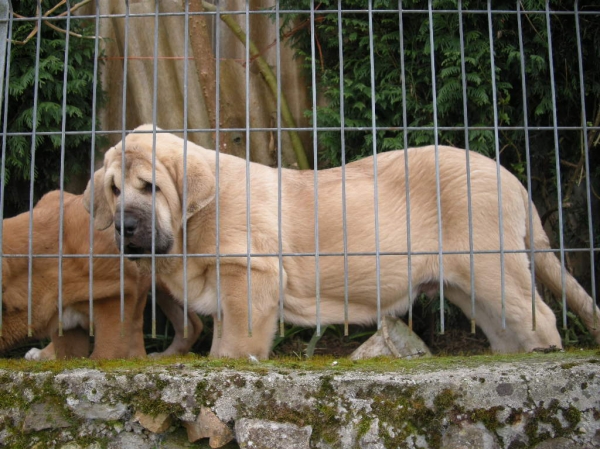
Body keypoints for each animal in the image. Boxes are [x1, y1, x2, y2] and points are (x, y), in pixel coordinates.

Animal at [83, 124, 600, 358]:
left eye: (150, 187)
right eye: (114, 190)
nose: (124, 227)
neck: (194, 218)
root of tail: (512, 180)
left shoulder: (248, 273)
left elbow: (238, 338)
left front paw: (230, 365)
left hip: (492, 266)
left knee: (541, 316)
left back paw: (545, 357)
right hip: (468, 286)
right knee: (507, 327)